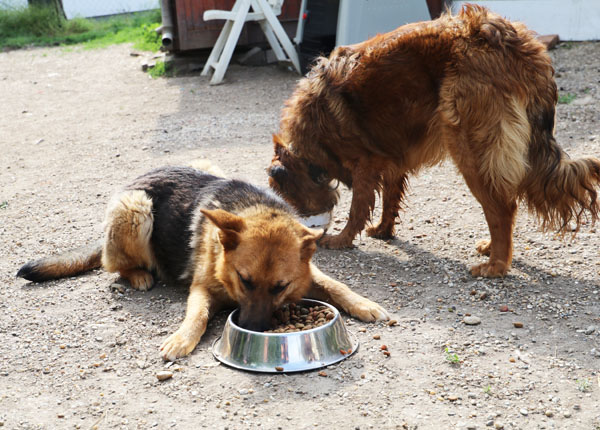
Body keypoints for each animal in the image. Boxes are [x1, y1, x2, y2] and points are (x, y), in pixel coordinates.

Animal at [18, 166, 390, 362]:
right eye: (245, 280)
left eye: (280, 287)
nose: (252, 328)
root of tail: (138, 178)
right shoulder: (201, 289)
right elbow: (196, 316)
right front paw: (181, 339)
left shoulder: (306, 273)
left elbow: (336, 284)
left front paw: (366, 305)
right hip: (136, 208)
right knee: (115, 266)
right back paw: (139, 275)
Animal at [268, 5, 600, 278]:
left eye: (291, 197)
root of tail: (515, 43)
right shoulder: (391, 157)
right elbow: (390, 198)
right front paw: (384, 230)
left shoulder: (365, 163)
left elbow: (358, 208)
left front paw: (341, 239)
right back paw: (493, 250)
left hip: (471, 149)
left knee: (503, 207)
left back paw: (496, 265)